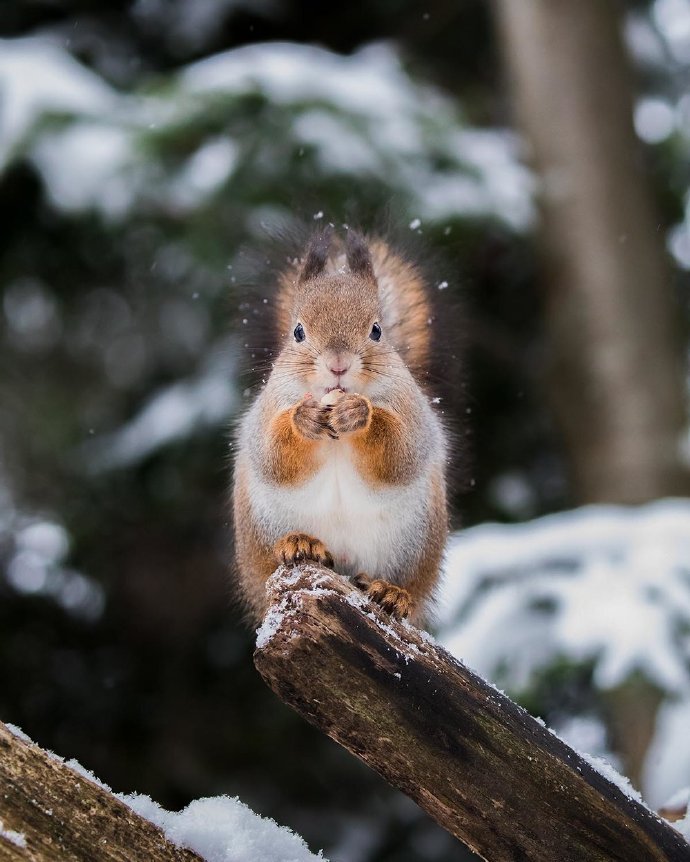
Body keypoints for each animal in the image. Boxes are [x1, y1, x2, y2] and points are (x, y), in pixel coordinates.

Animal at [232, 230, 446, 628]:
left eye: (377, 330)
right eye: (298, 332)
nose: (338, 364)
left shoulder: (412, 413)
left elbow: (399, 453)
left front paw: (360, 414)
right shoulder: (267, 410)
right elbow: (273, 454)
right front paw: (304, 419)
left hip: (417, 543)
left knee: (408, 587)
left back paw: (392, 592)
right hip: (261, 533)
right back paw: (300, 544)